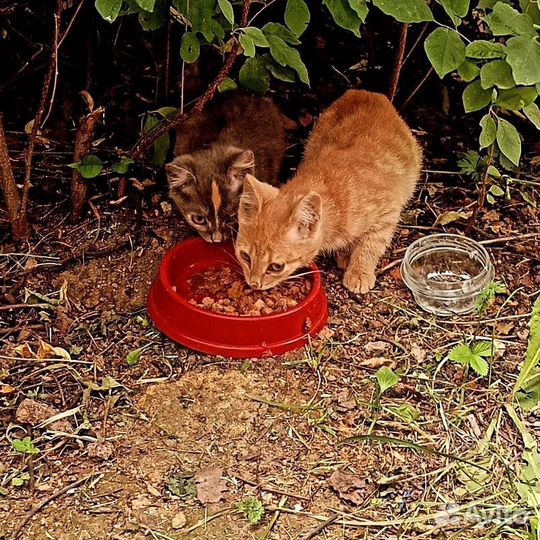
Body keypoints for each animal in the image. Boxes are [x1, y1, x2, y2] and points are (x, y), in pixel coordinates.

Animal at [235, 91, 422, 298]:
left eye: (276, 266)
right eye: (245, 256)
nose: (254, 284)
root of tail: (369, 93)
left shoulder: (387, 214)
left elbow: (371, 244)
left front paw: (360, 271)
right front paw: (346, 254)